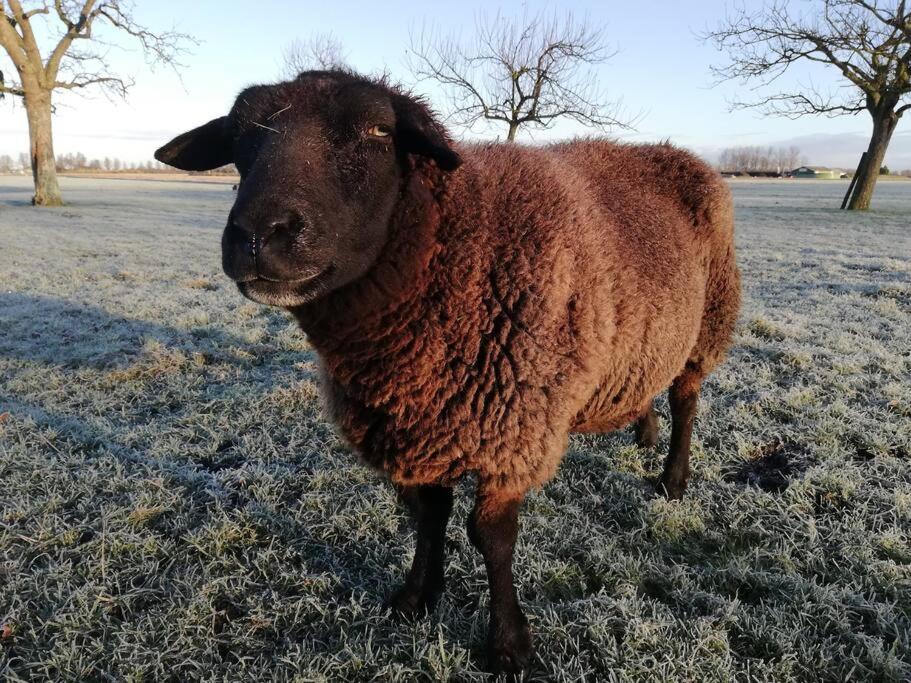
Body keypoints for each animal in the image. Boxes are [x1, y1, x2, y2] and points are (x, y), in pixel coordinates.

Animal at [155, 71, 740, 680]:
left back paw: (673, 478)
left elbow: (492, 538)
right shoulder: (424, 418)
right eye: (238, 139)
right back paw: (642, 430)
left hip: (710, 319)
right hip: (642, 337)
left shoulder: (513, 425)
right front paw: (417, 597)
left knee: (687, 400)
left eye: (379, 130)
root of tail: (674, 151)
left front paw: (509, 645)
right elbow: (429, 515)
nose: (257, 235)